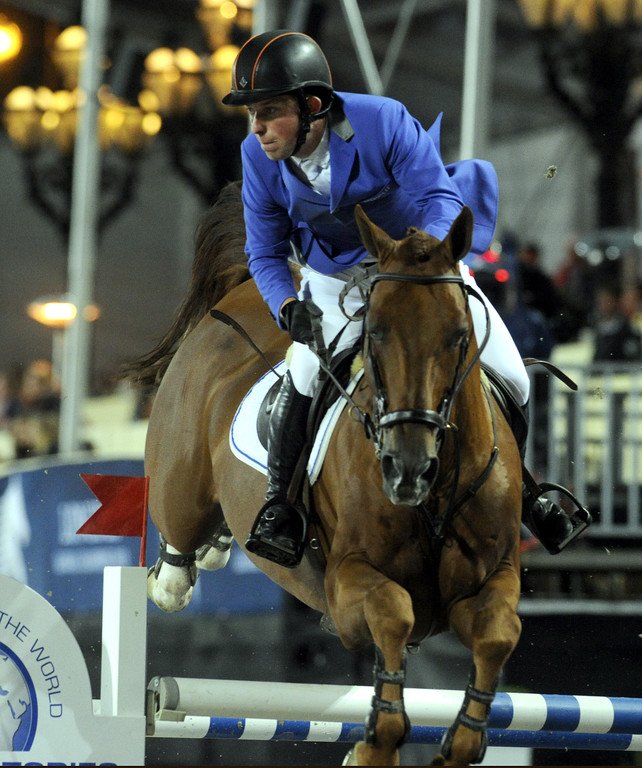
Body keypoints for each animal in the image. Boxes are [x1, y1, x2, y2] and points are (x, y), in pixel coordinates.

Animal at [126, 181, 523, 766]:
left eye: (458, 336)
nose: (407, 470)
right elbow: (394, 614)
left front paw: (462, 741)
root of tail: (240, 294)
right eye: (375, 334)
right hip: (180, 491)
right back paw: (189, 562)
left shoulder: (492, 579)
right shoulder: (346, 585)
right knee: (173, 570)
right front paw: (375, 744)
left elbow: (499, 633)